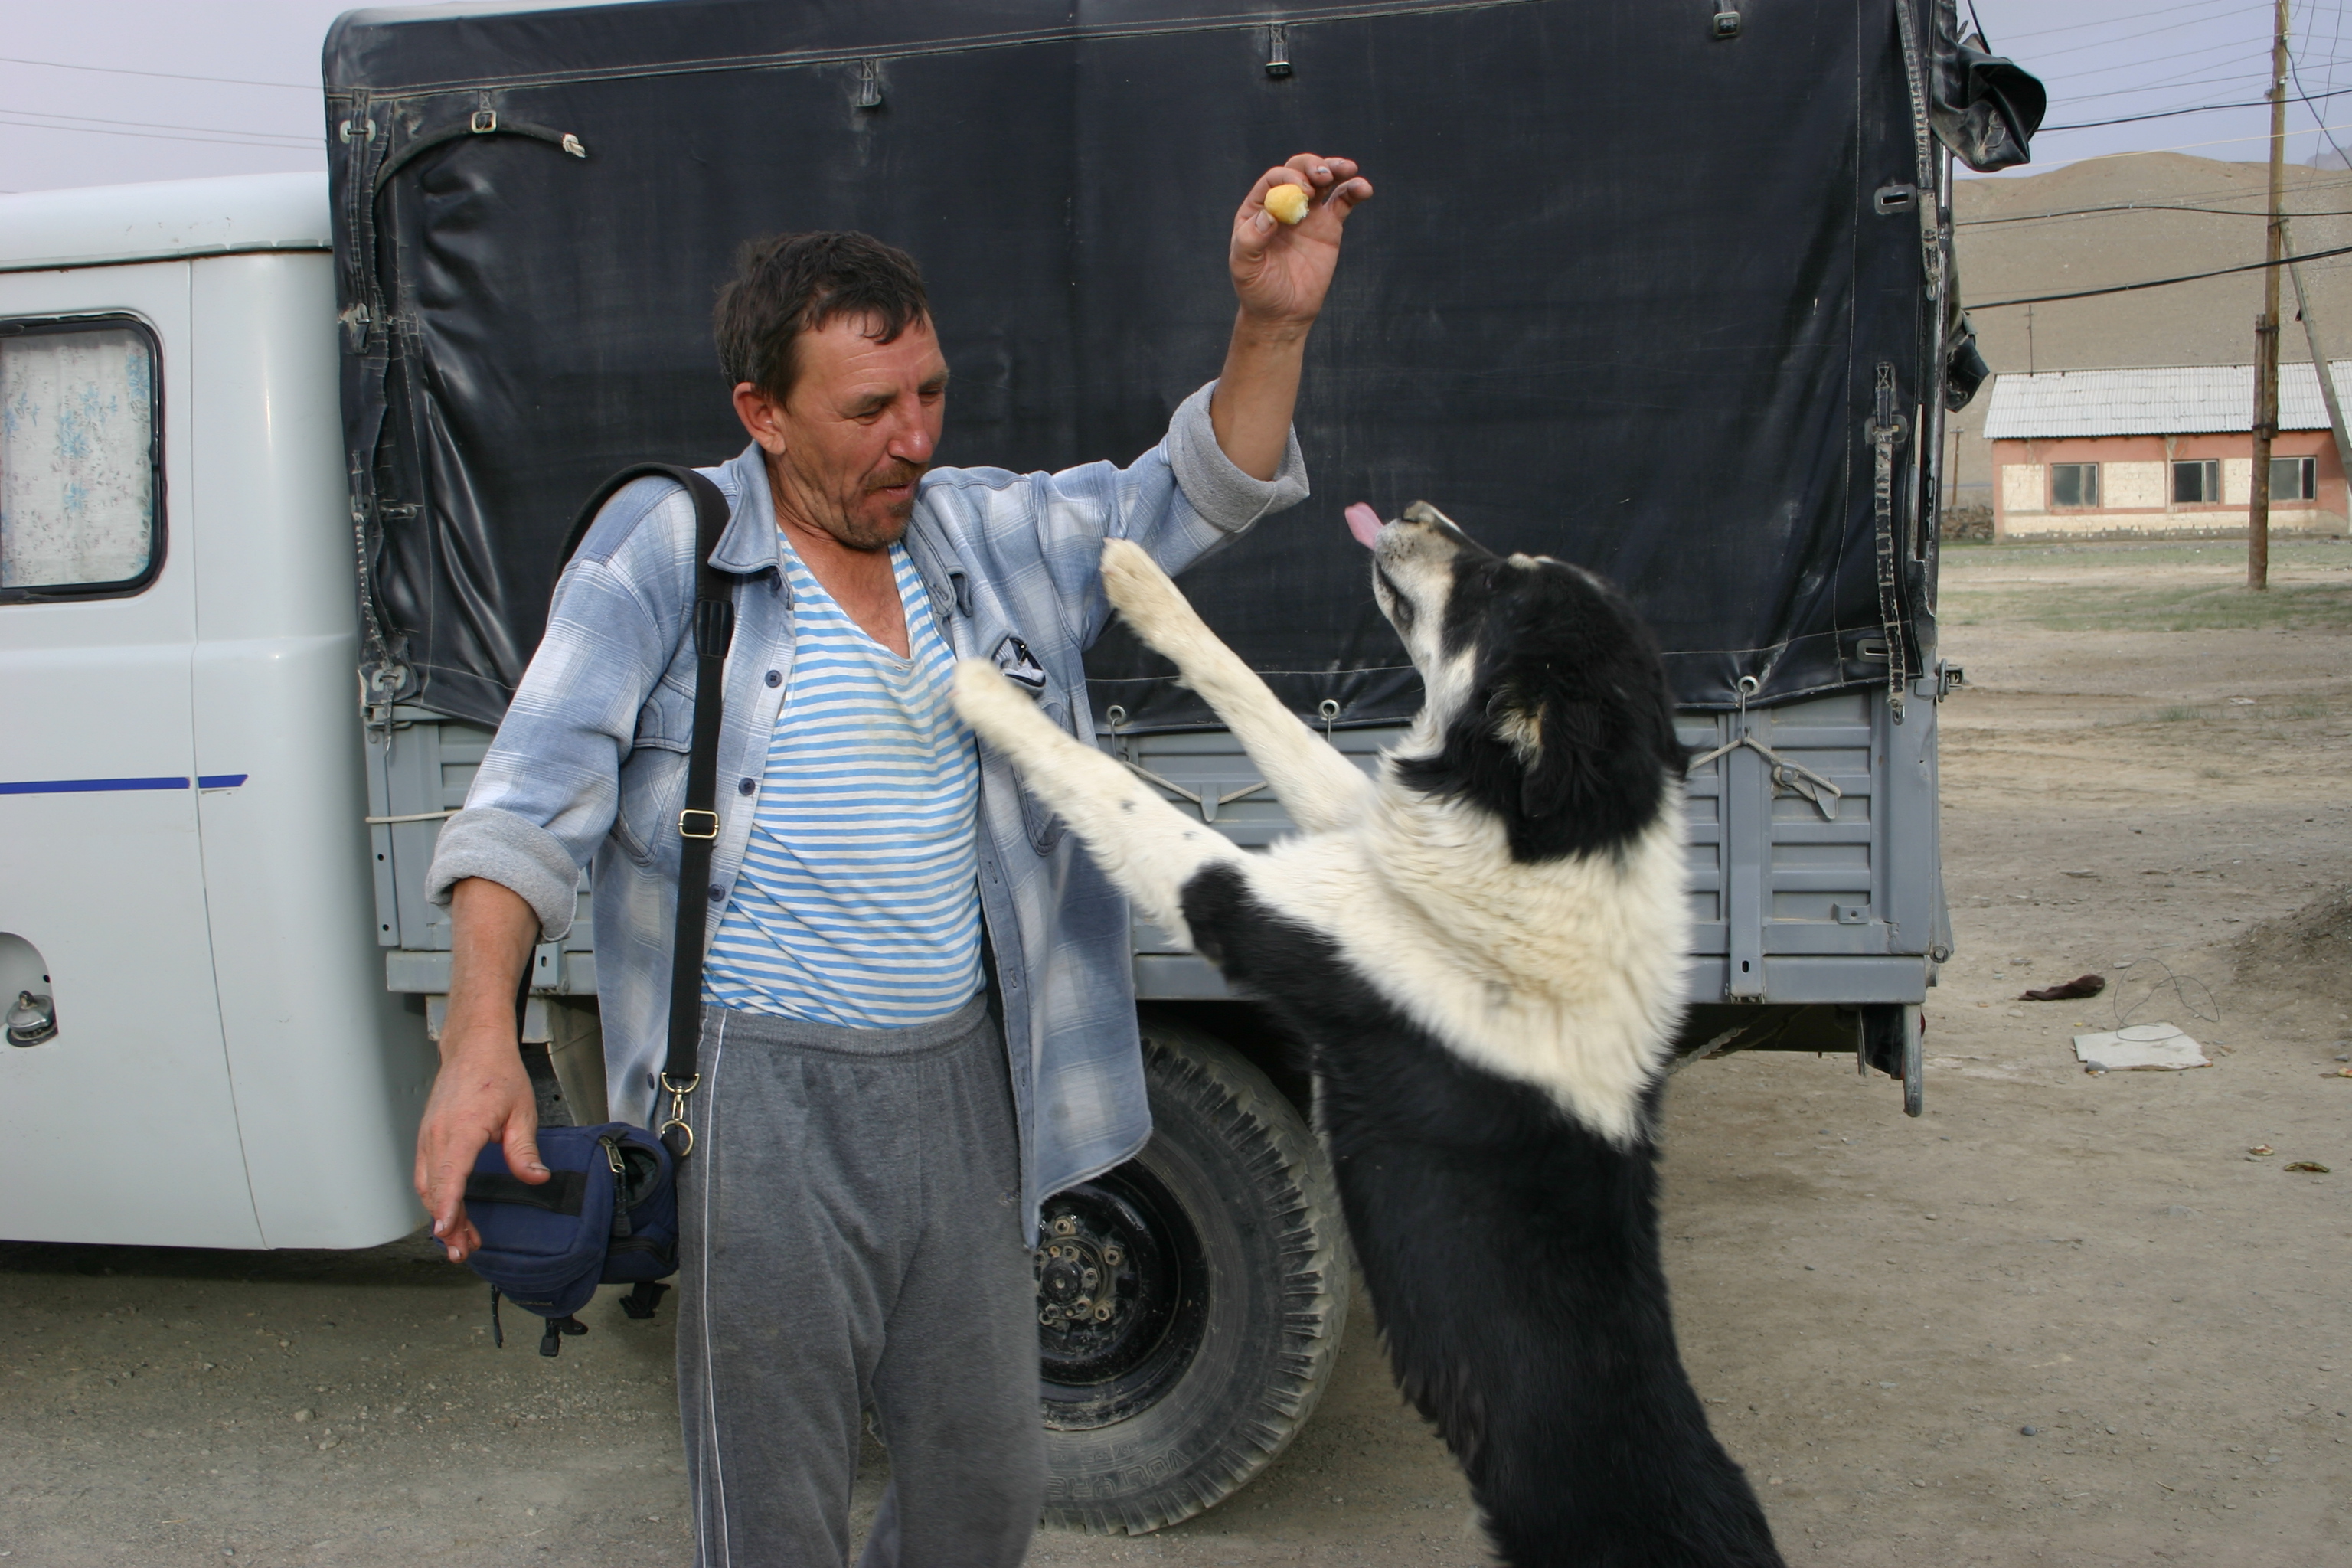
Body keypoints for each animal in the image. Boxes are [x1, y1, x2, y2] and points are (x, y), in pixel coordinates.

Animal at [952, 502, 1783, 1568]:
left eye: (1492, 587)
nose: (1419, 511)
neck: (1550, 843)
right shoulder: (1349, 826)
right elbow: (1257, 698)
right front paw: (1140, 576)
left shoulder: (1249, 906)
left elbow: (1119, 793)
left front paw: (976, 686)